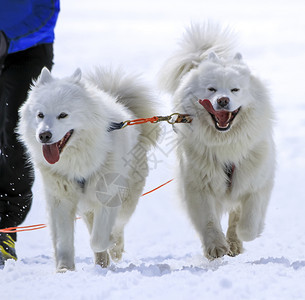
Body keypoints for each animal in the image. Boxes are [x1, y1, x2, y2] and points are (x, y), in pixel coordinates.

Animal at [17, 68, 159, 272]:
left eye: (63, 115)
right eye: (40, 115)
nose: (44, 135)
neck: (77, 162)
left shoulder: (108, 195)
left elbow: (98, 239)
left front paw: (110, 243)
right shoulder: (61, 198)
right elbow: (63, 240)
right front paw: (64, 269)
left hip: (127, 198)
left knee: (119, 225)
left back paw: (115, 249)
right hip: (86, 206)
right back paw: (102, 262)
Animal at [159, 23, 276, 258]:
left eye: (235, 89)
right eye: (211, 89)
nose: (222, 100)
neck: (225, 143)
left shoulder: (257, 180)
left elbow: (249, 220)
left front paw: (244, 235)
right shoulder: (198, 184)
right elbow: (209, 221)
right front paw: (216, 247)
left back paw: (235, 242)